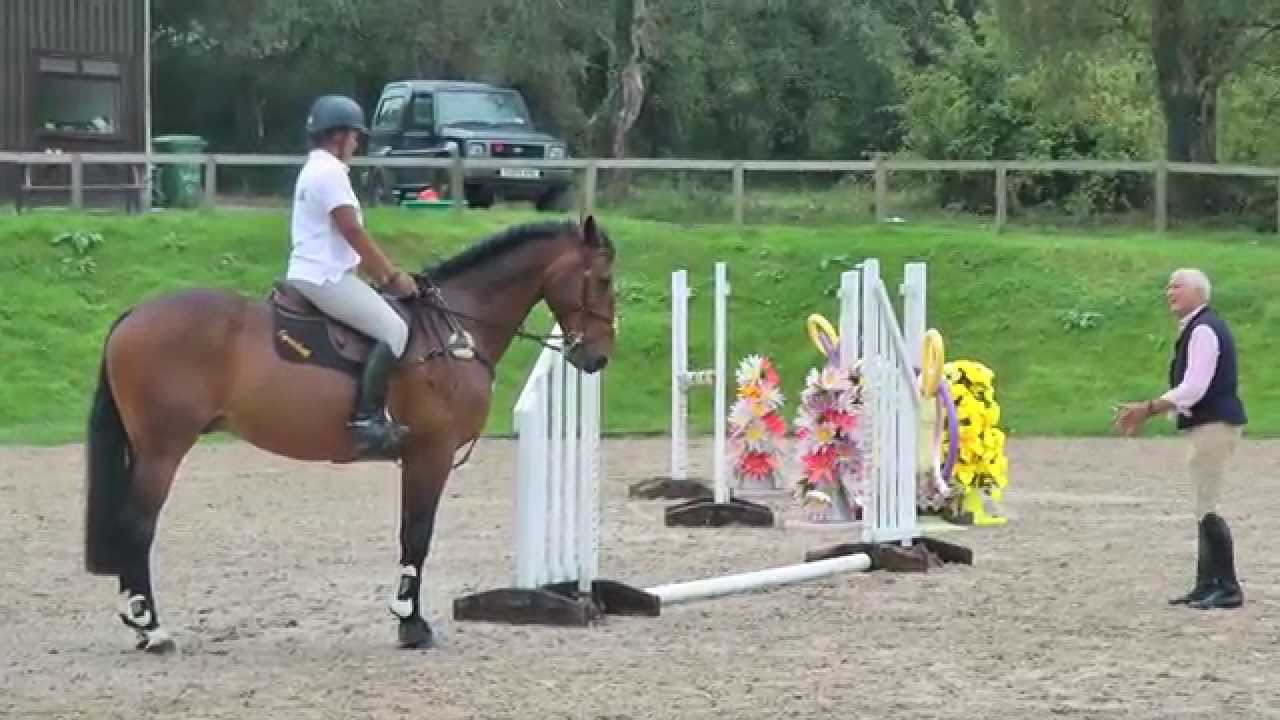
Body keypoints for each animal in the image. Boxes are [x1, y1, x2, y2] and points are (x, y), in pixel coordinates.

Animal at [83, 216, 617, 652]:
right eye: (604, 280)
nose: (598, 358)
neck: (454, 332)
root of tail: (133, 315)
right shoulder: (432, 453)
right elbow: (417, 534)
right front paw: (411, 623)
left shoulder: (419, 456)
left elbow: (410, 532)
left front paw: (407, 620)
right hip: (163, 449)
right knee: (138, 527)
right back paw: (152, 630)